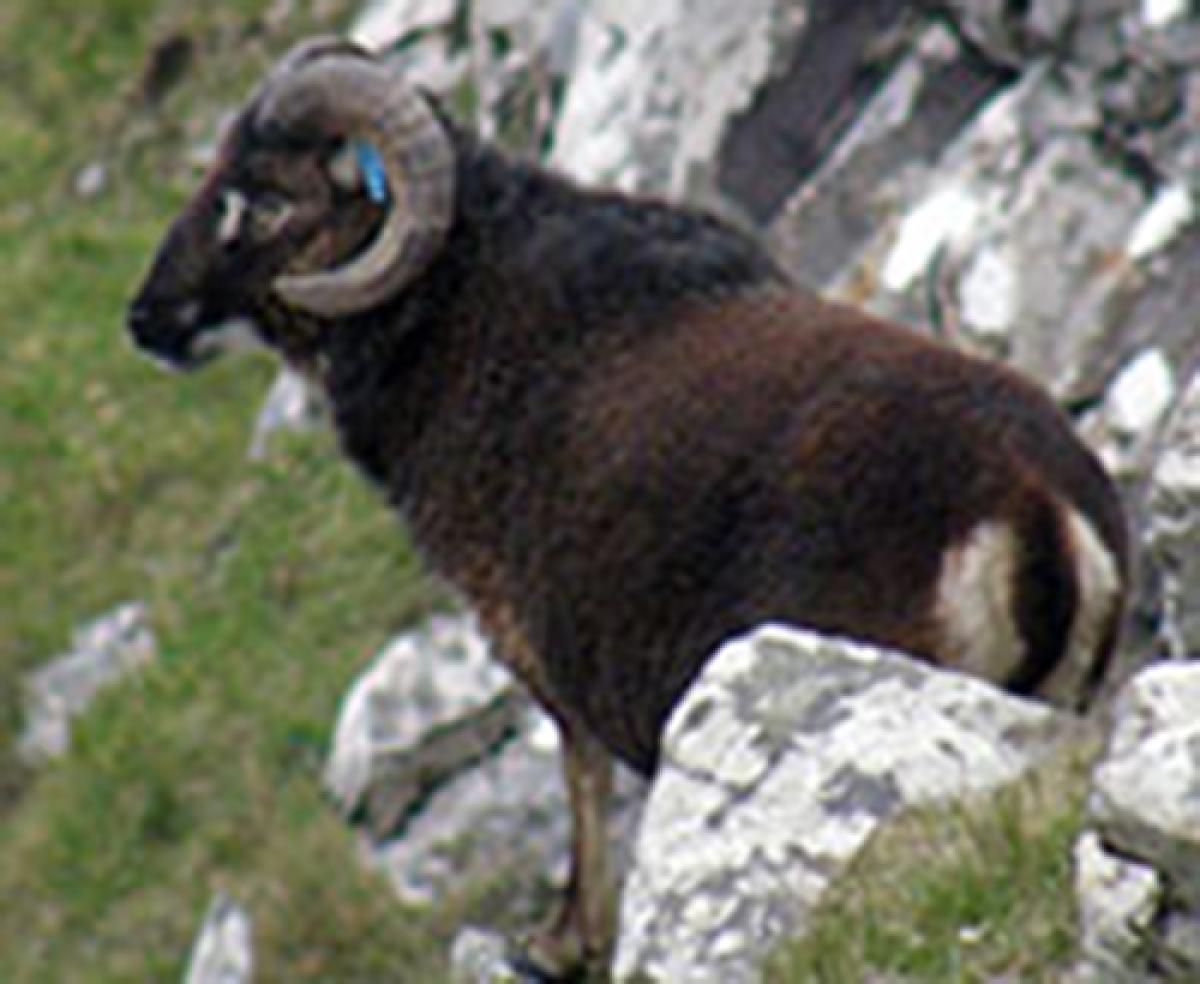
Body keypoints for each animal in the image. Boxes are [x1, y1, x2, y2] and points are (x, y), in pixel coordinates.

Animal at [126, 36, 1128, 974]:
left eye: (264, 201)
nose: (147, 319)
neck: (454, 320)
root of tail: (1039, 510)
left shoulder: (541, 647)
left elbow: (581, 779)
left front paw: (561, 942)